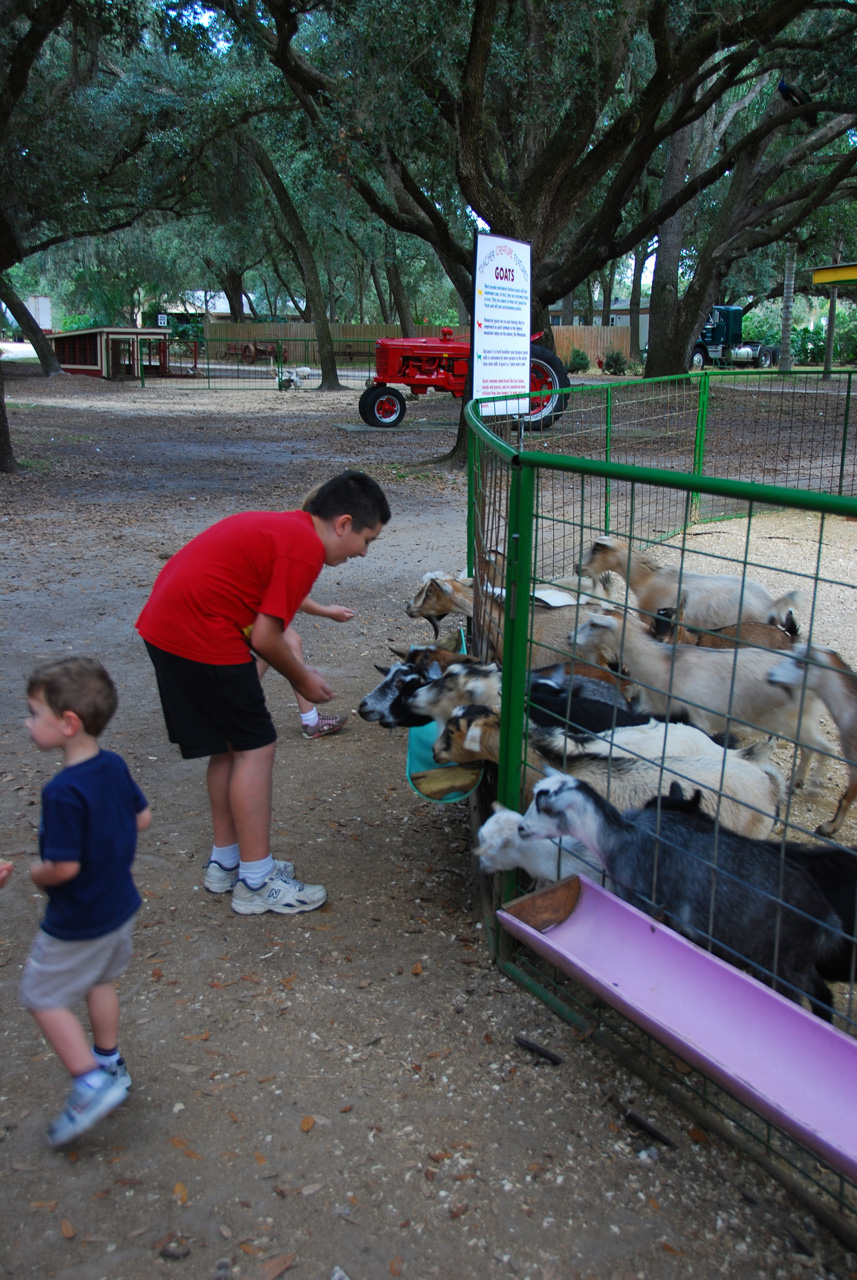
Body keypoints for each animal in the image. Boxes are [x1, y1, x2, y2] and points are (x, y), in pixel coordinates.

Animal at [519, 768, 844, 1018]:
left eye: (545, 807)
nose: (521, 828)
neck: (619, 837)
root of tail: (826, 916)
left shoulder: (639, 900)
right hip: (799, 960)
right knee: (822, 994)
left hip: (778, 963)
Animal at [573, 611, 828, 788]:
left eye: (593, 624)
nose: (570, 637)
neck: (660, 663)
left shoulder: (697, 717)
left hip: (796, 719)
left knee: (819, 748)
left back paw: (803, 783)